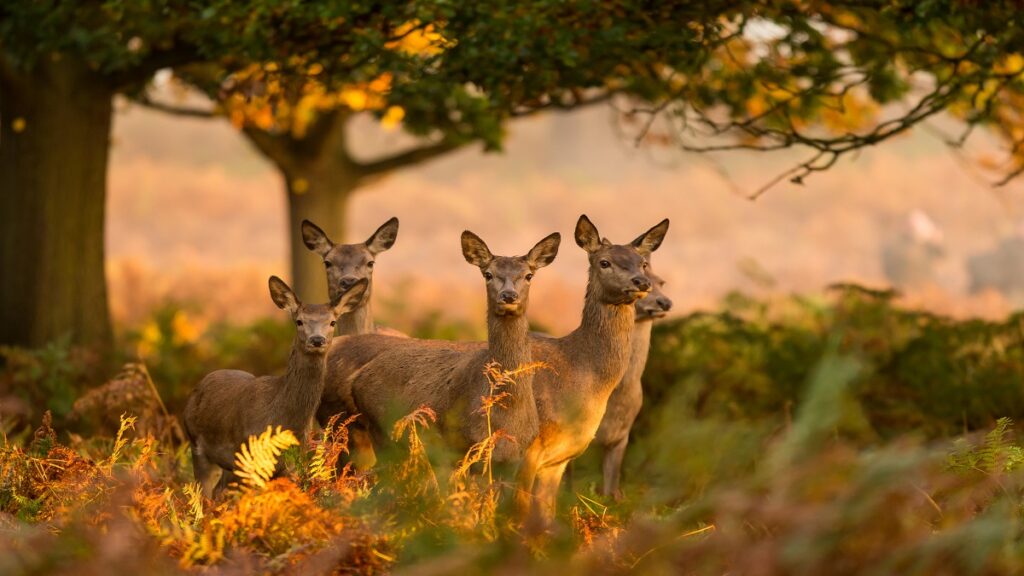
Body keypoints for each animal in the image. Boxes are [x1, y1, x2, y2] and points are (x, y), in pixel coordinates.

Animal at [183, 272, 368, 494]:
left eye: (332, 322)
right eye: (299, 321)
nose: (317, 340)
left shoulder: (292, 465)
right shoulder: (252, 458)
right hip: (197, 445)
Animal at [319, 228, 561, 457]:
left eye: (529, 275)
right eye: (488, 274)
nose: (508, 295)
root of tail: (357, 379)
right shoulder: (458, 445)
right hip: (376, 432)